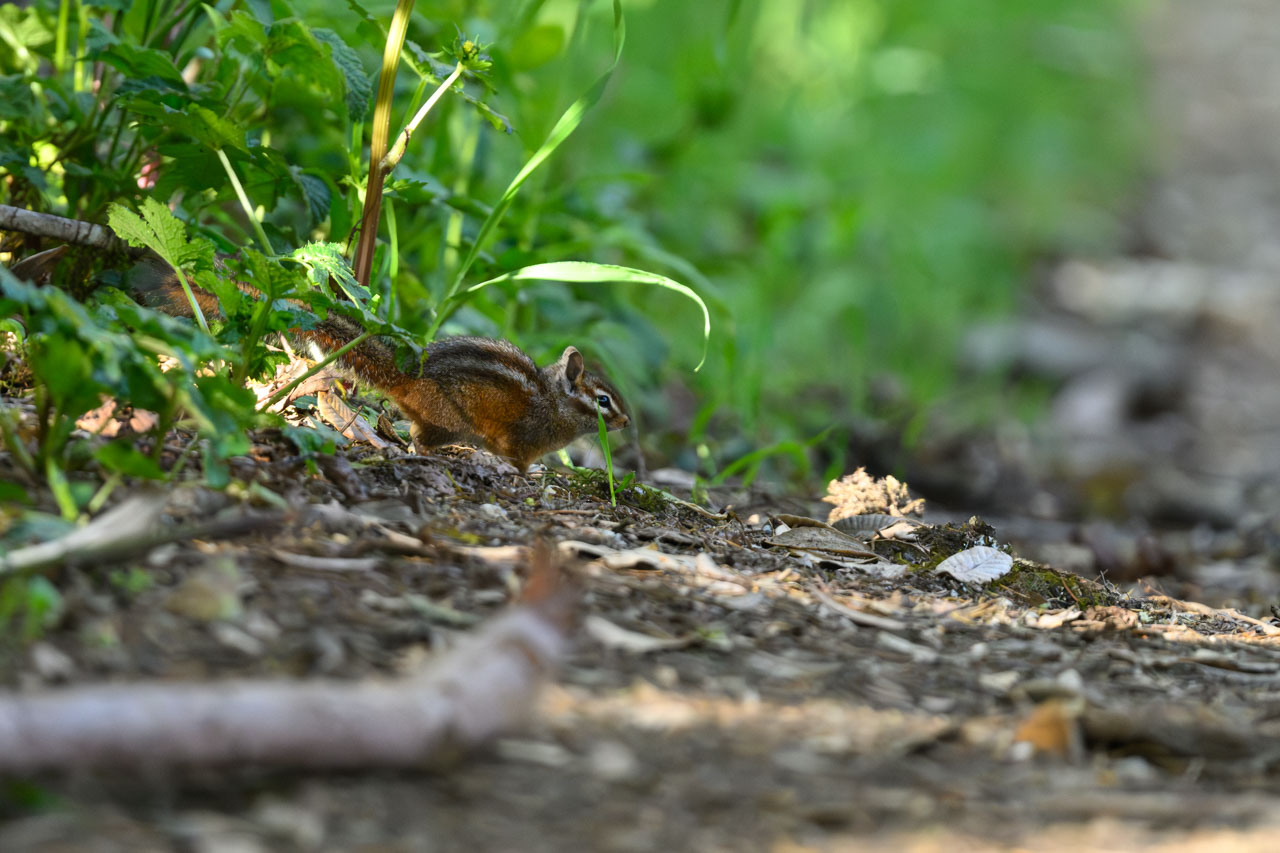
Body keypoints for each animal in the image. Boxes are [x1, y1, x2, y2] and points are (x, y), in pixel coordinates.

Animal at [9, 246, 630, 472]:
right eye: (603, 400)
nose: (625, 423)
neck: (555, 404)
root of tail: (410, 369)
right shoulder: (521, 437)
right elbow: (522, 461)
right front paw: (530, 475)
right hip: (449, 417)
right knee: (420, 440)